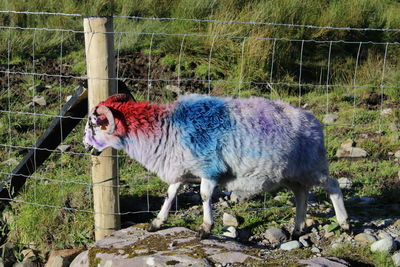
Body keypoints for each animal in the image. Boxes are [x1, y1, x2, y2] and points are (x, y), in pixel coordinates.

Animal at [83, 93, 348, 239]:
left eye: (94, 124)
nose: (86, 147)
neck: (165, 128)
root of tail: (313, 121)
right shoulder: (181, 170)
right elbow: (170, 195)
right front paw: (156, 223)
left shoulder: (209, 168)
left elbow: (203, 195)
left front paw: (205, 228)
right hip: (291, 174)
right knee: (302, 194)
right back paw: (296, 229)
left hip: (311, 166)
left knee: (333, 185)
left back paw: (344, 223)